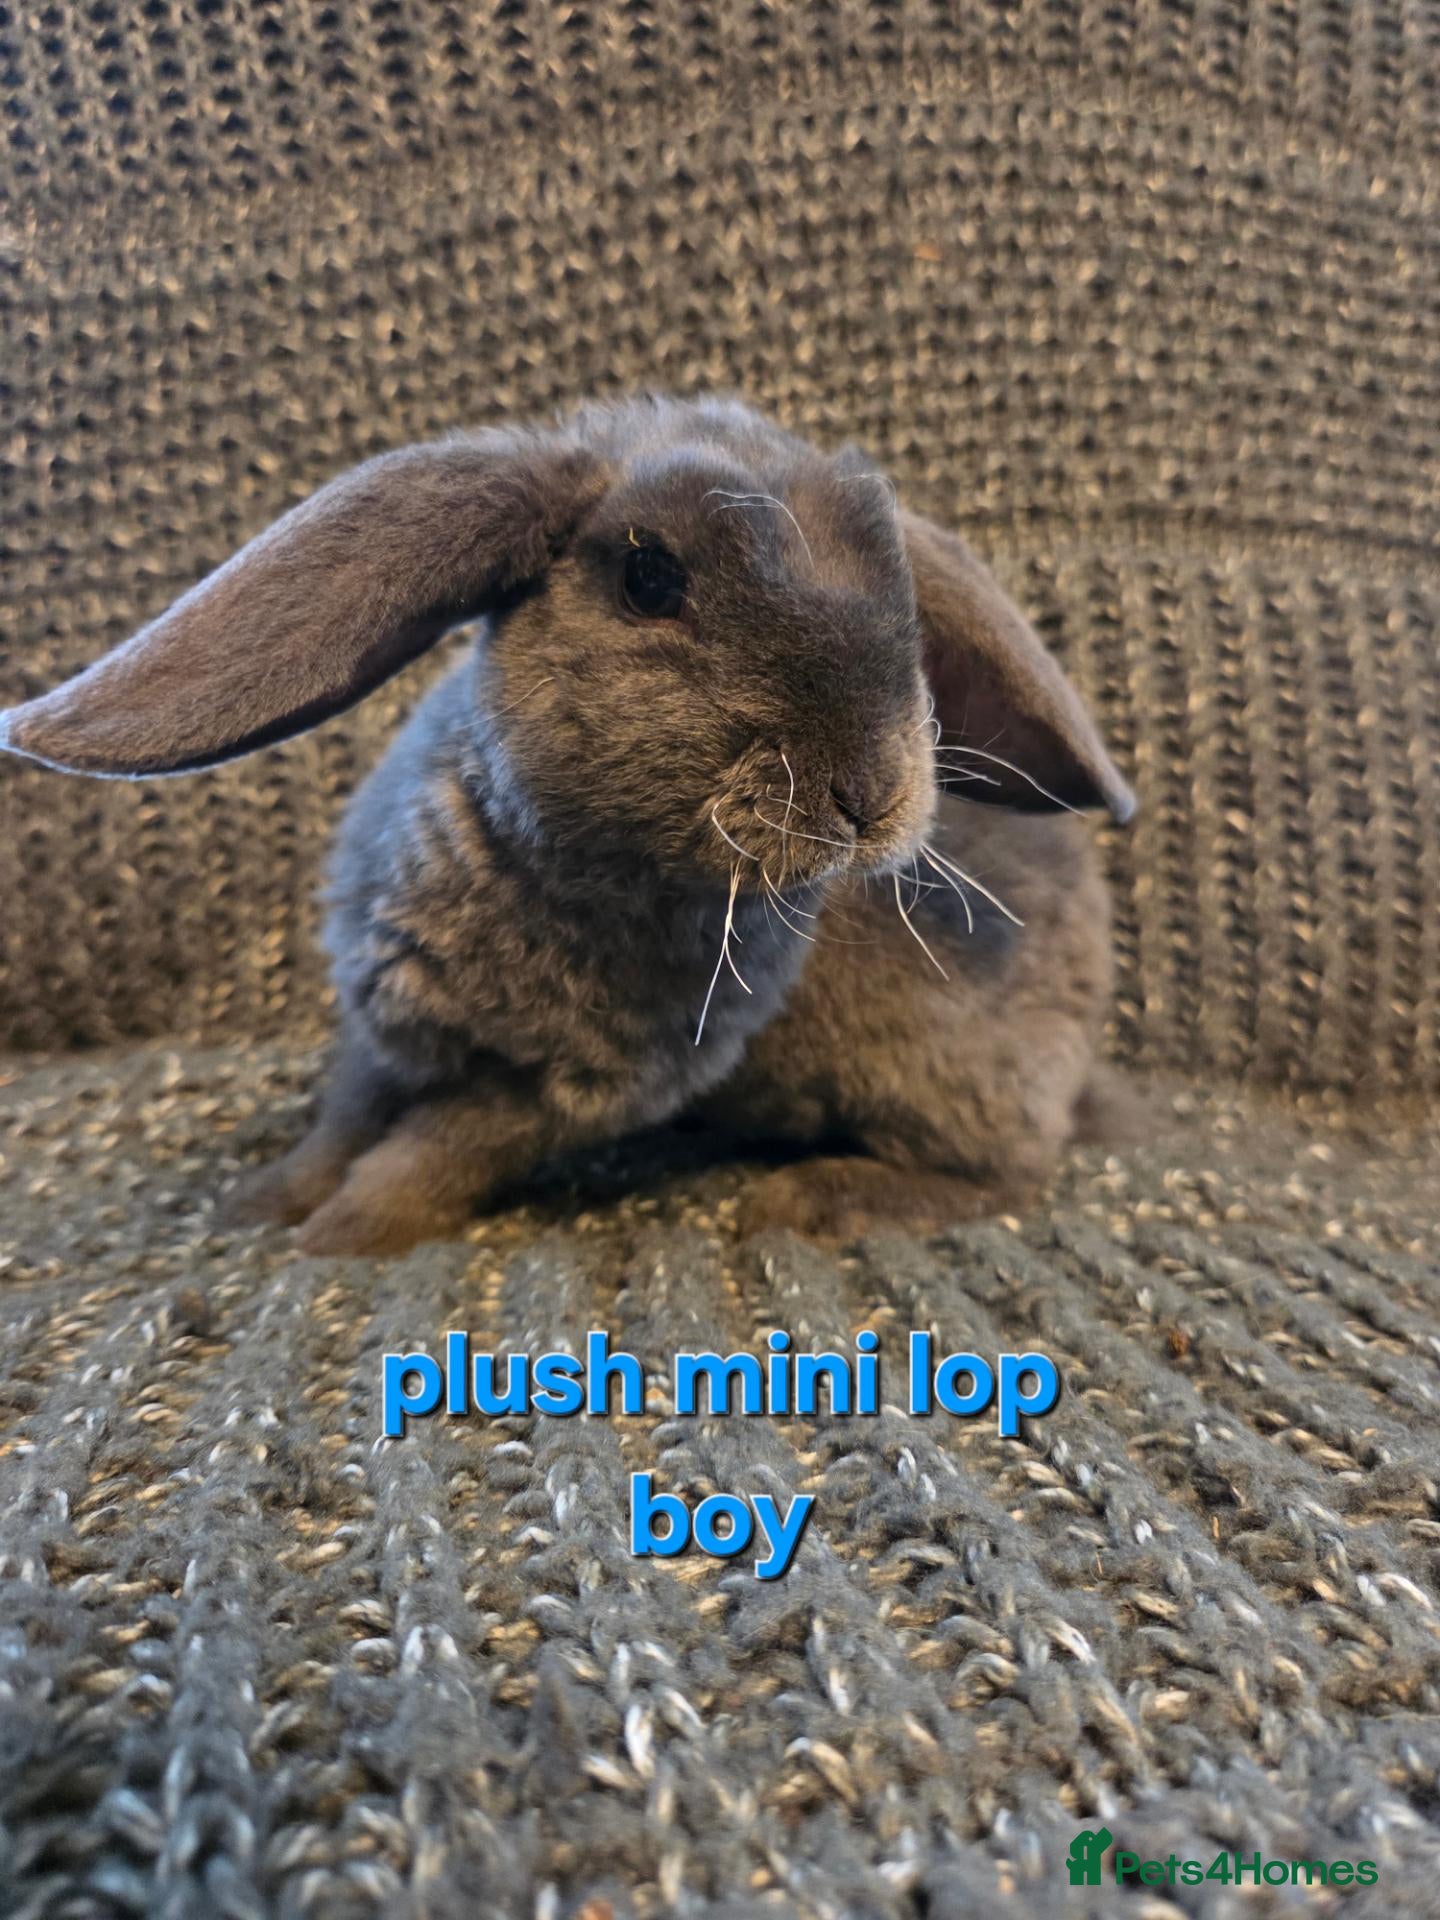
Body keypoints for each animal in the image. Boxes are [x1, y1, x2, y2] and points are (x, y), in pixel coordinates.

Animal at [0, 394, 1134, 1255]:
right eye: (649, 576)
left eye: (908, 607)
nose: (870, 791)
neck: (563, 866)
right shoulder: (385, 1025)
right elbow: (341, 1125)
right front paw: (263, 1207)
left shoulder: (557, 1095)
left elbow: (422, 1161)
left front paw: (335, 1240)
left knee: (1009, 1175)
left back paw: (806, 1198)